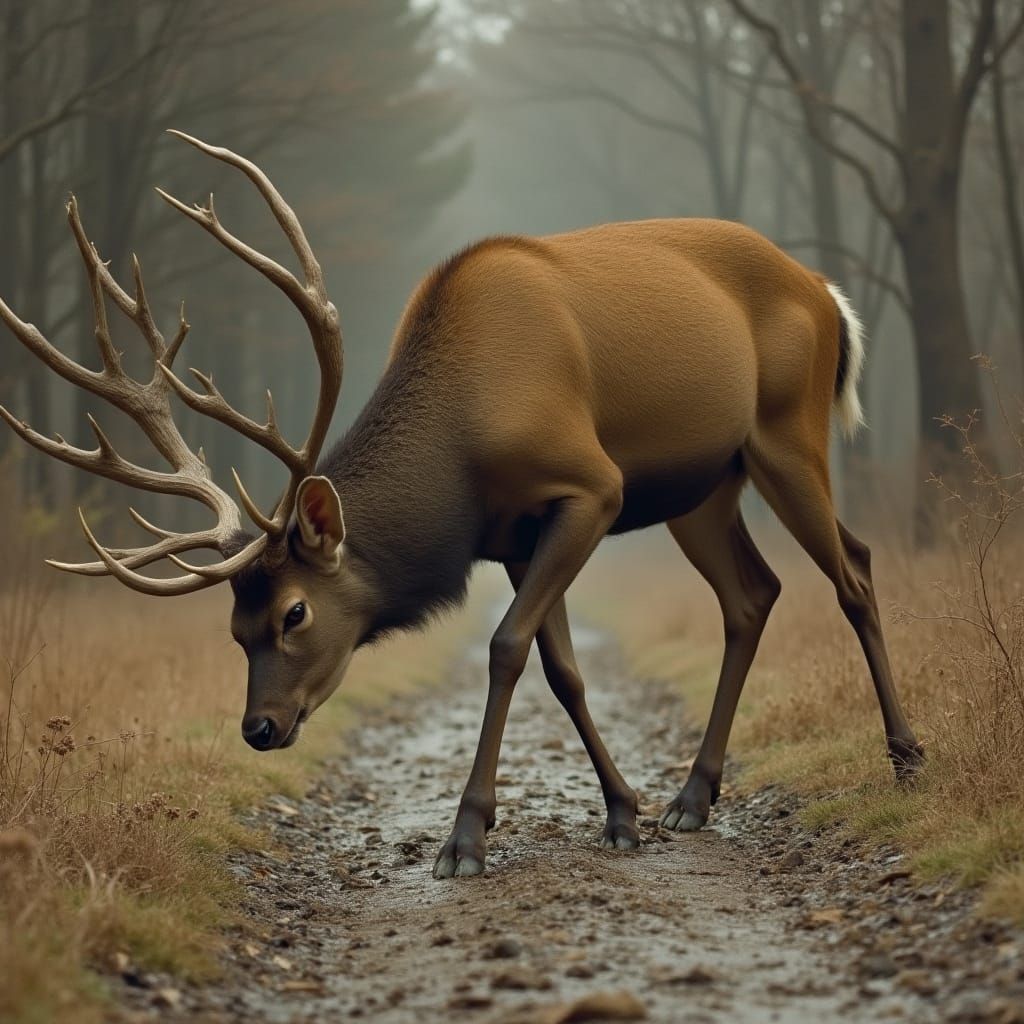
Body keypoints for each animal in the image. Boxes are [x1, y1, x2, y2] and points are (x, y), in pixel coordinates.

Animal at [1, 133, 923, 879]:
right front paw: (623, 812)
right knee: (753, 592)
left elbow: (508, 645)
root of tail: (829, 295)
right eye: (234, 627)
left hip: (787, 430)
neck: (462, 458)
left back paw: (907, 756)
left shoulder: (592, 486)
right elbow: (563, 667)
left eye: (295, 612)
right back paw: (693, 795)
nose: (258, 727)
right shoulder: (514, 533)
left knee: (853, 569)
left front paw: (467, 837)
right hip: (704, 486)